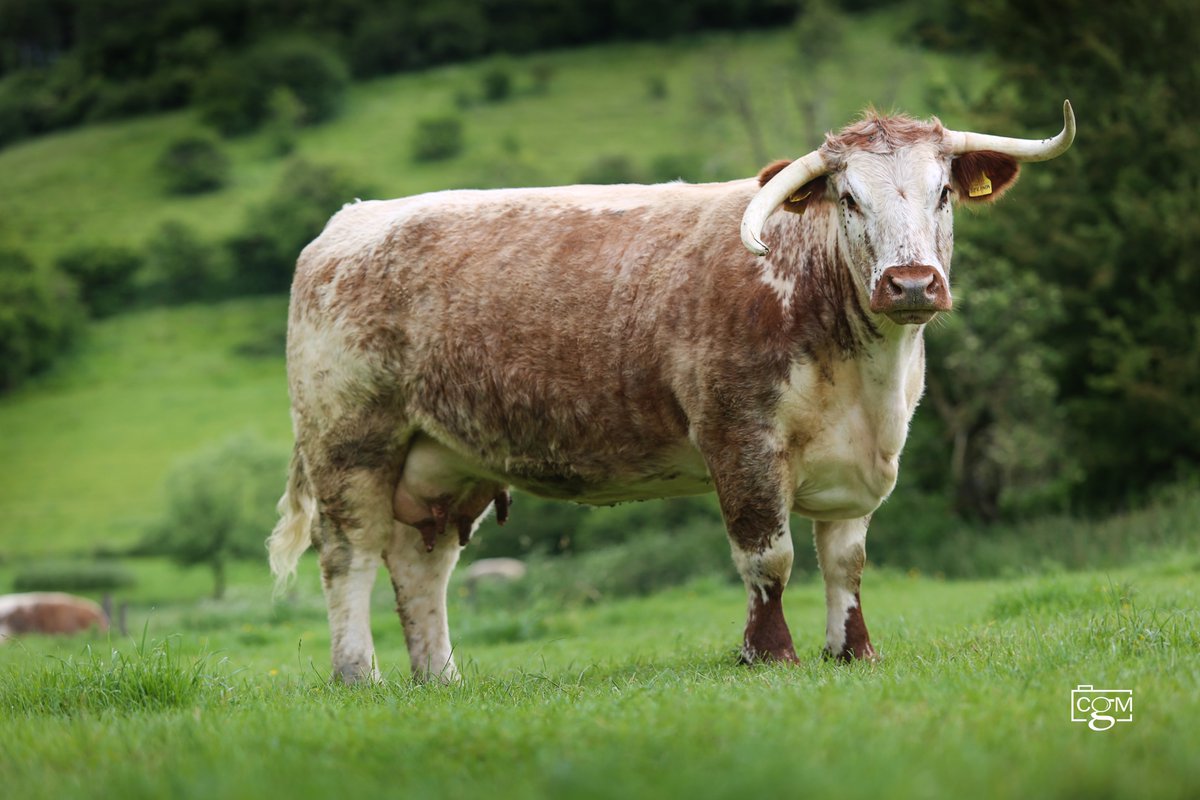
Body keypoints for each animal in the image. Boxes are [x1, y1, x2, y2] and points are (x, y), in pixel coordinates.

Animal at [269, 102, 1076, 683]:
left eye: (943, 194)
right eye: (848, 198)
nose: (910, 283)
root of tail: (348, 223)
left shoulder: (861, 458)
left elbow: (846, 561)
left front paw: (853, 651)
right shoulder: (738, 438)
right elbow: (769, 556)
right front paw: (769, 654)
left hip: (444, 460)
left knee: (421, 565)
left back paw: (440, 677)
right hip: (351, 444)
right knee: (349, 557)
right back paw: (359, 675)